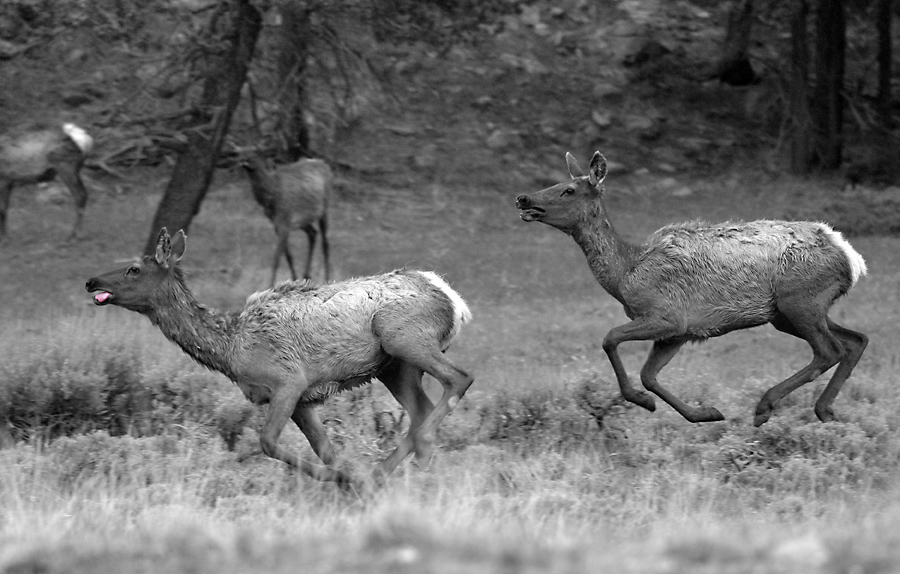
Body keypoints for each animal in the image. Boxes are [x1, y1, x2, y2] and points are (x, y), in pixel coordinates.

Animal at [87, 228, 474, 490]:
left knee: (460, 378)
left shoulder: (289, 380)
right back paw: (404, 474)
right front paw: (346, 478)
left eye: (133, 269)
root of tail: (454, 300)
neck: (231, 350)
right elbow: (326, 449)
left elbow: (268, 442)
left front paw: (344, 476)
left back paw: (394, 465)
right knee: (421, 409)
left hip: (403, 338)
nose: (91, 281)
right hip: (394, 367)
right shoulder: (303, 400)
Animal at [239, 155, 334, 288]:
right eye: (240, 153)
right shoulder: (278, 225)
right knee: (313, 233)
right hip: (303, 220)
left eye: (253, 155)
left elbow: (276, 258)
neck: (271, 197)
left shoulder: (285, 222)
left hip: (324, 208)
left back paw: (327, 278)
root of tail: (326, 165)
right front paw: (294, 279)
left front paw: (270, 286)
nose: (242, 160)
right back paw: (306, 275)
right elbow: (289, 256)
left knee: (325, 244)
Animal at [516, 152, 868, 428]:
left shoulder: (667, 316)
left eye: (568, 189)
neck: (625, 274)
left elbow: (610, 339)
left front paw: (641, 401)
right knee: (855, 341)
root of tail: (850, 257)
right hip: (789, 312)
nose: (523, 198)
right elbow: (649, 375)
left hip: (799, 300)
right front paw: (705, 413)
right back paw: (825, 410)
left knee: (829, 350)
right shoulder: (678, 333)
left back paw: (765, 406)